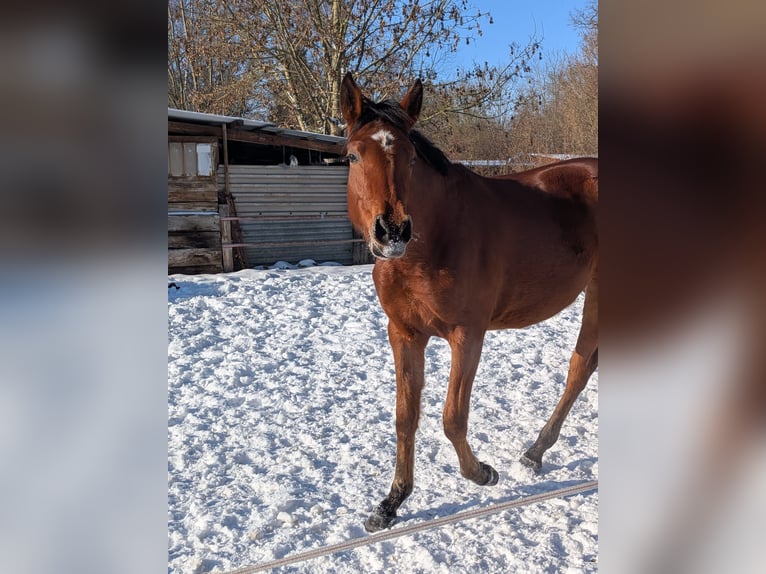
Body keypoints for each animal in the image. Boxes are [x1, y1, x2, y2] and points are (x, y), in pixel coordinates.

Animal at [340, 72, 598, 532]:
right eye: (352, 156)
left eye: (410, 158)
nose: (392, 231)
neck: (431, 244)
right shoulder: (404, 334)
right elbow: (406, 418)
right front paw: (391, 502)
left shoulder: (467, 335)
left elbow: (452, 417)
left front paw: (481, 473)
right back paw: (536, 452)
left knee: (579, 369)